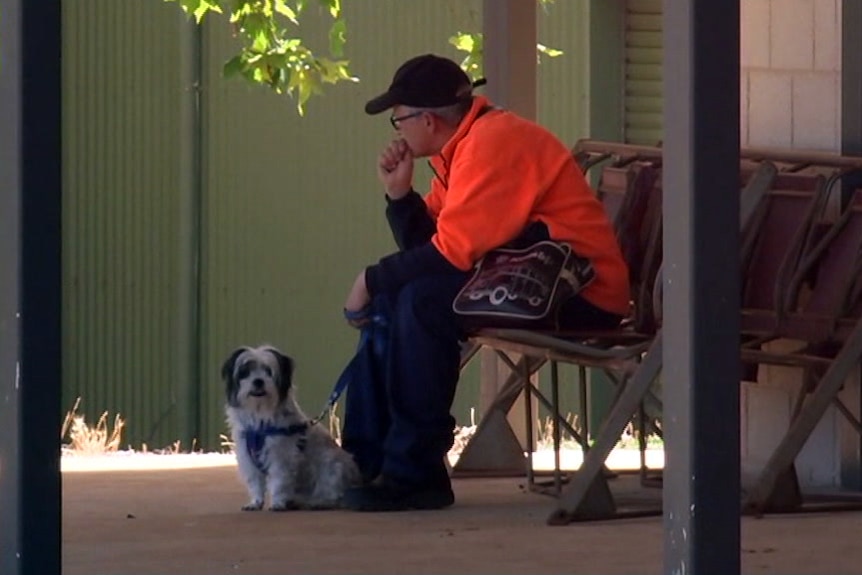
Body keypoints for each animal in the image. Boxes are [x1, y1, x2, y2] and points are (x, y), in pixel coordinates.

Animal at [223, 344, 362, 510]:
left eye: (269, 372)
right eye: (245, 372)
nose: (258, 381)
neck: (260, 420)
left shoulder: (281, 458)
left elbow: (279, 482)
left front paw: (277, 503)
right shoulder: (248, 458)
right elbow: (255, 483)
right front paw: (255, 503)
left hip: (333, 468)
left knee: (334, 495)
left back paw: (319, 502)